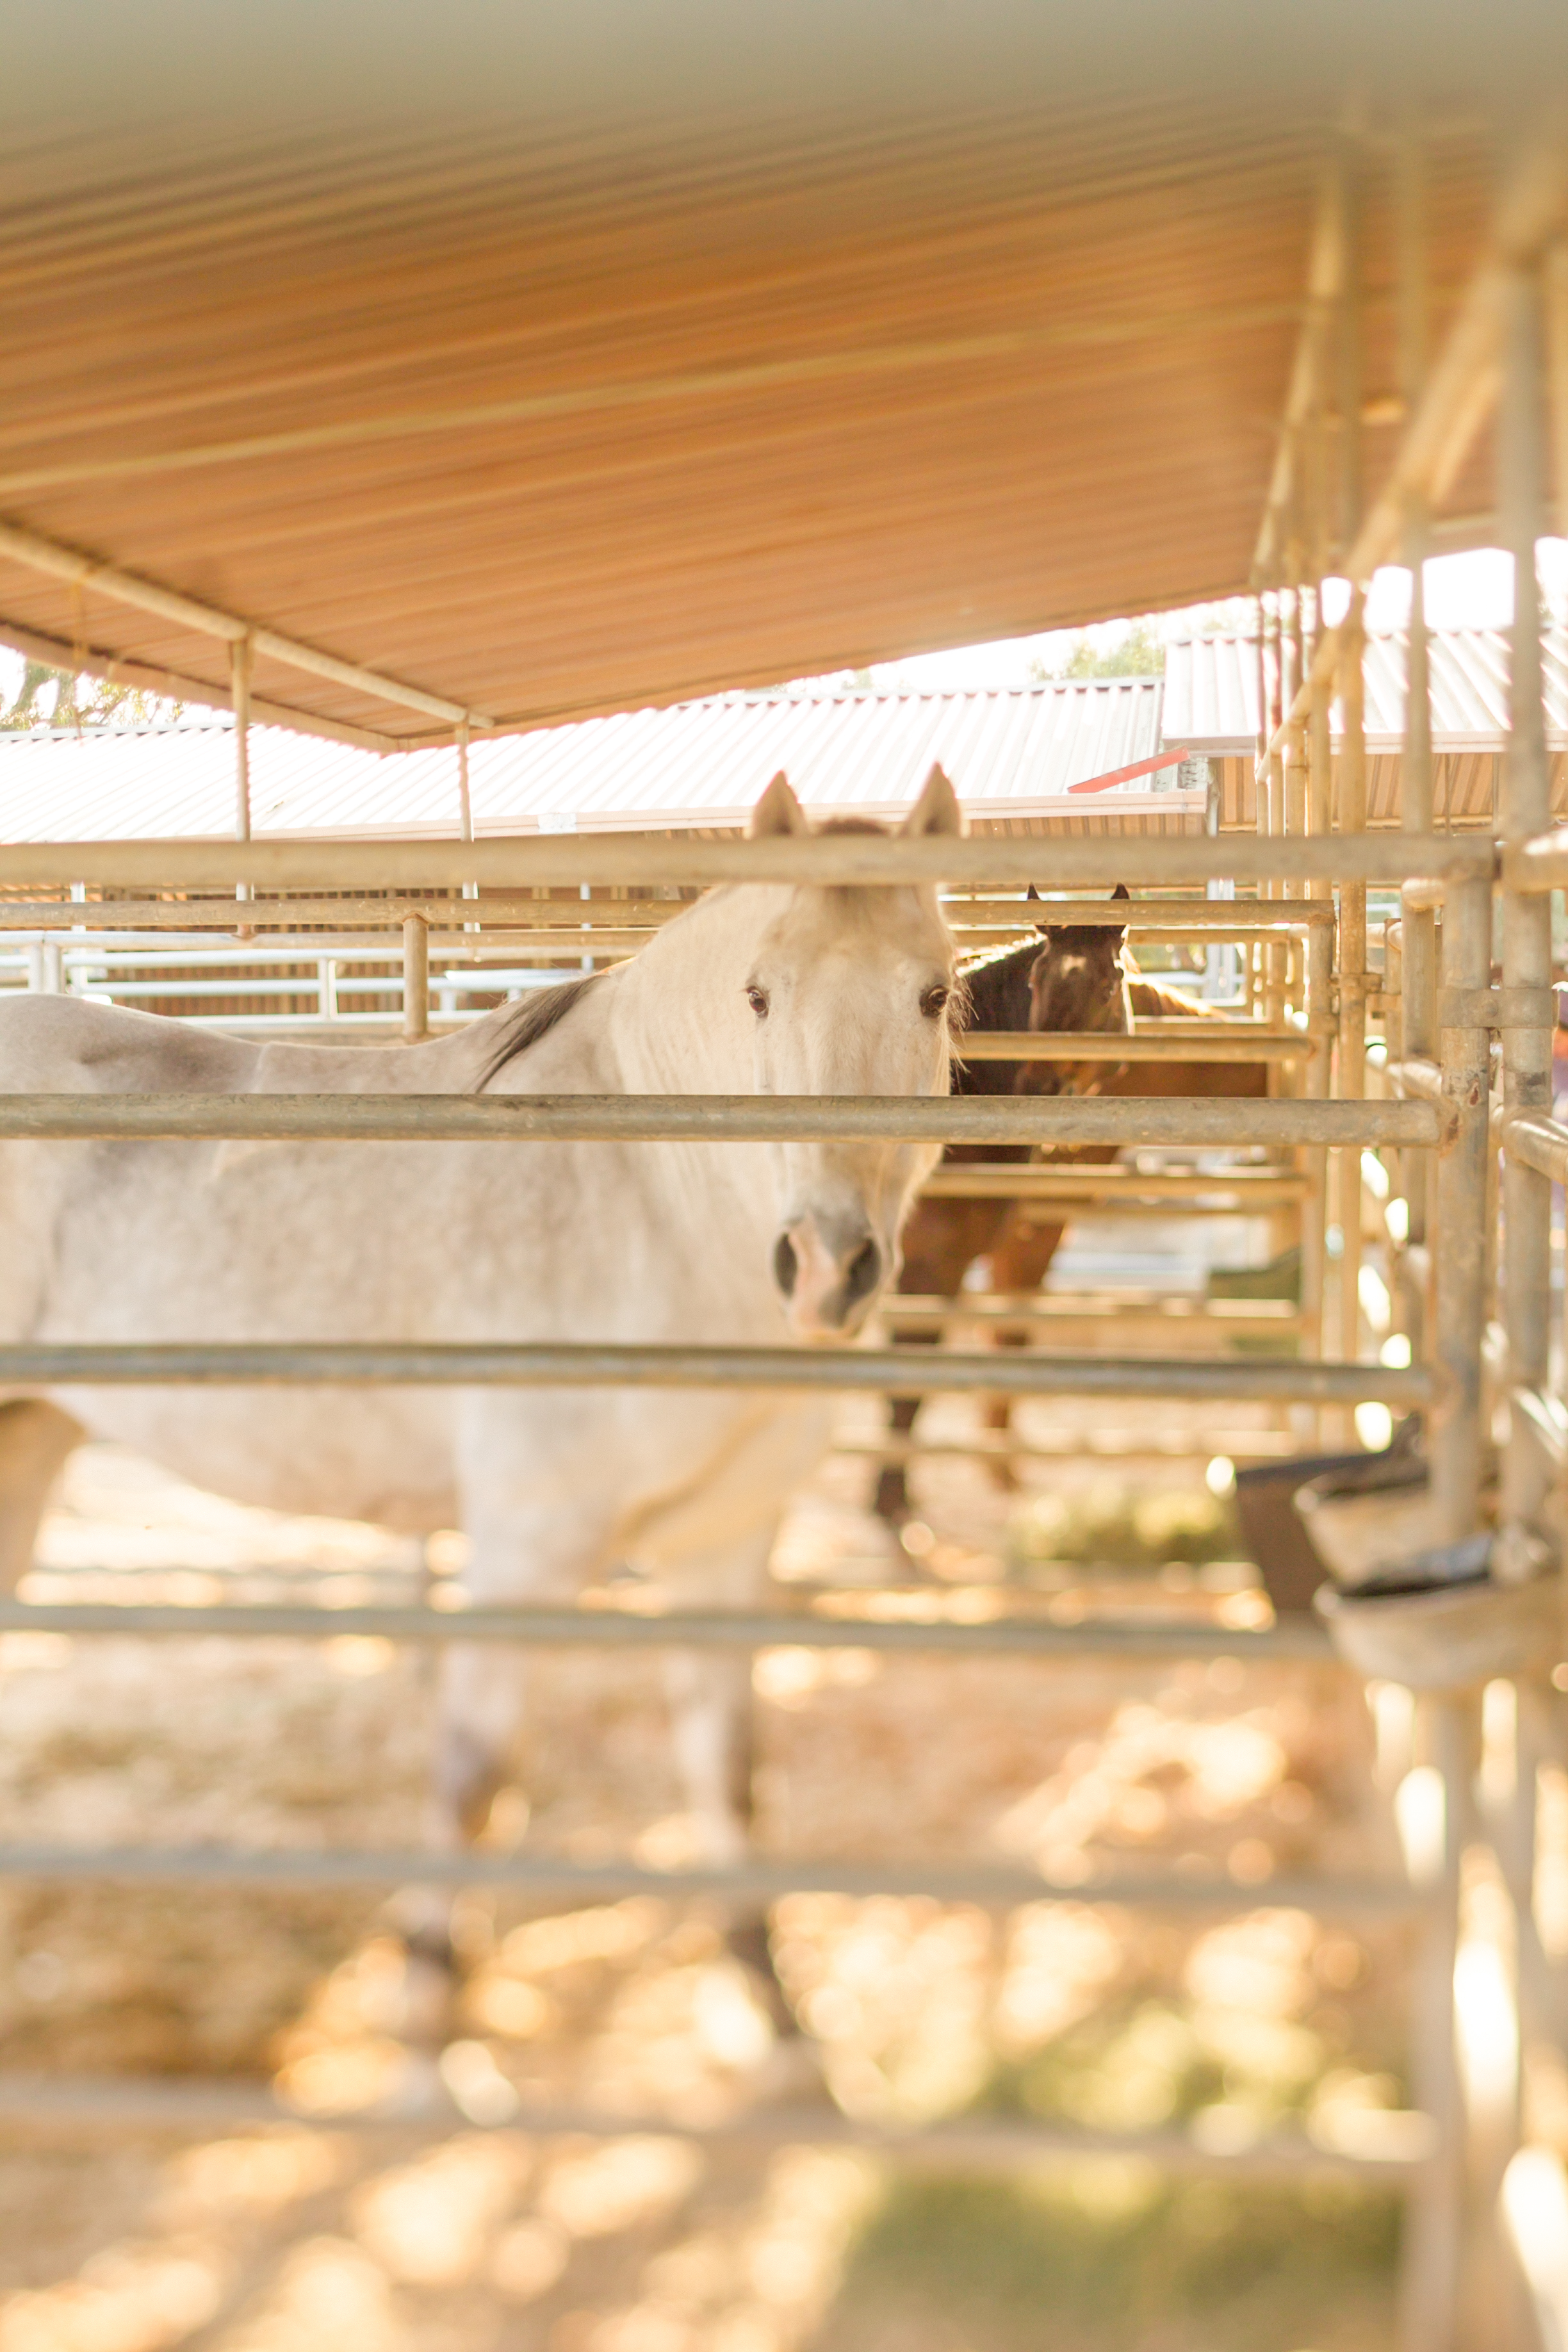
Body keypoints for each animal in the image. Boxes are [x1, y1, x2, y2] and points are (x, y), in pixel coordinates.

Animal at [0, 776, 963, 2041]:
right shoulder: (522, 1547)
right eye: (760, 994)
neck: (648, 1198)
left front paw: (779, 2024)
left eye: (933, 994)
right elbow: (472, 1780)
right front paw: (429, 2026)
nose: (823, 1266)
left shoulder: (721, 1542)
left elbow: (728, 1771)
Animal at [879, 898, 1269, 1524]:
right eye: (1036, 982)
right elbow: (907, 1390)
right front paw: (893, 1507)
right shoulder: (935, 1266)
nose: (1038, 1087)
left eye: (1109, 988)